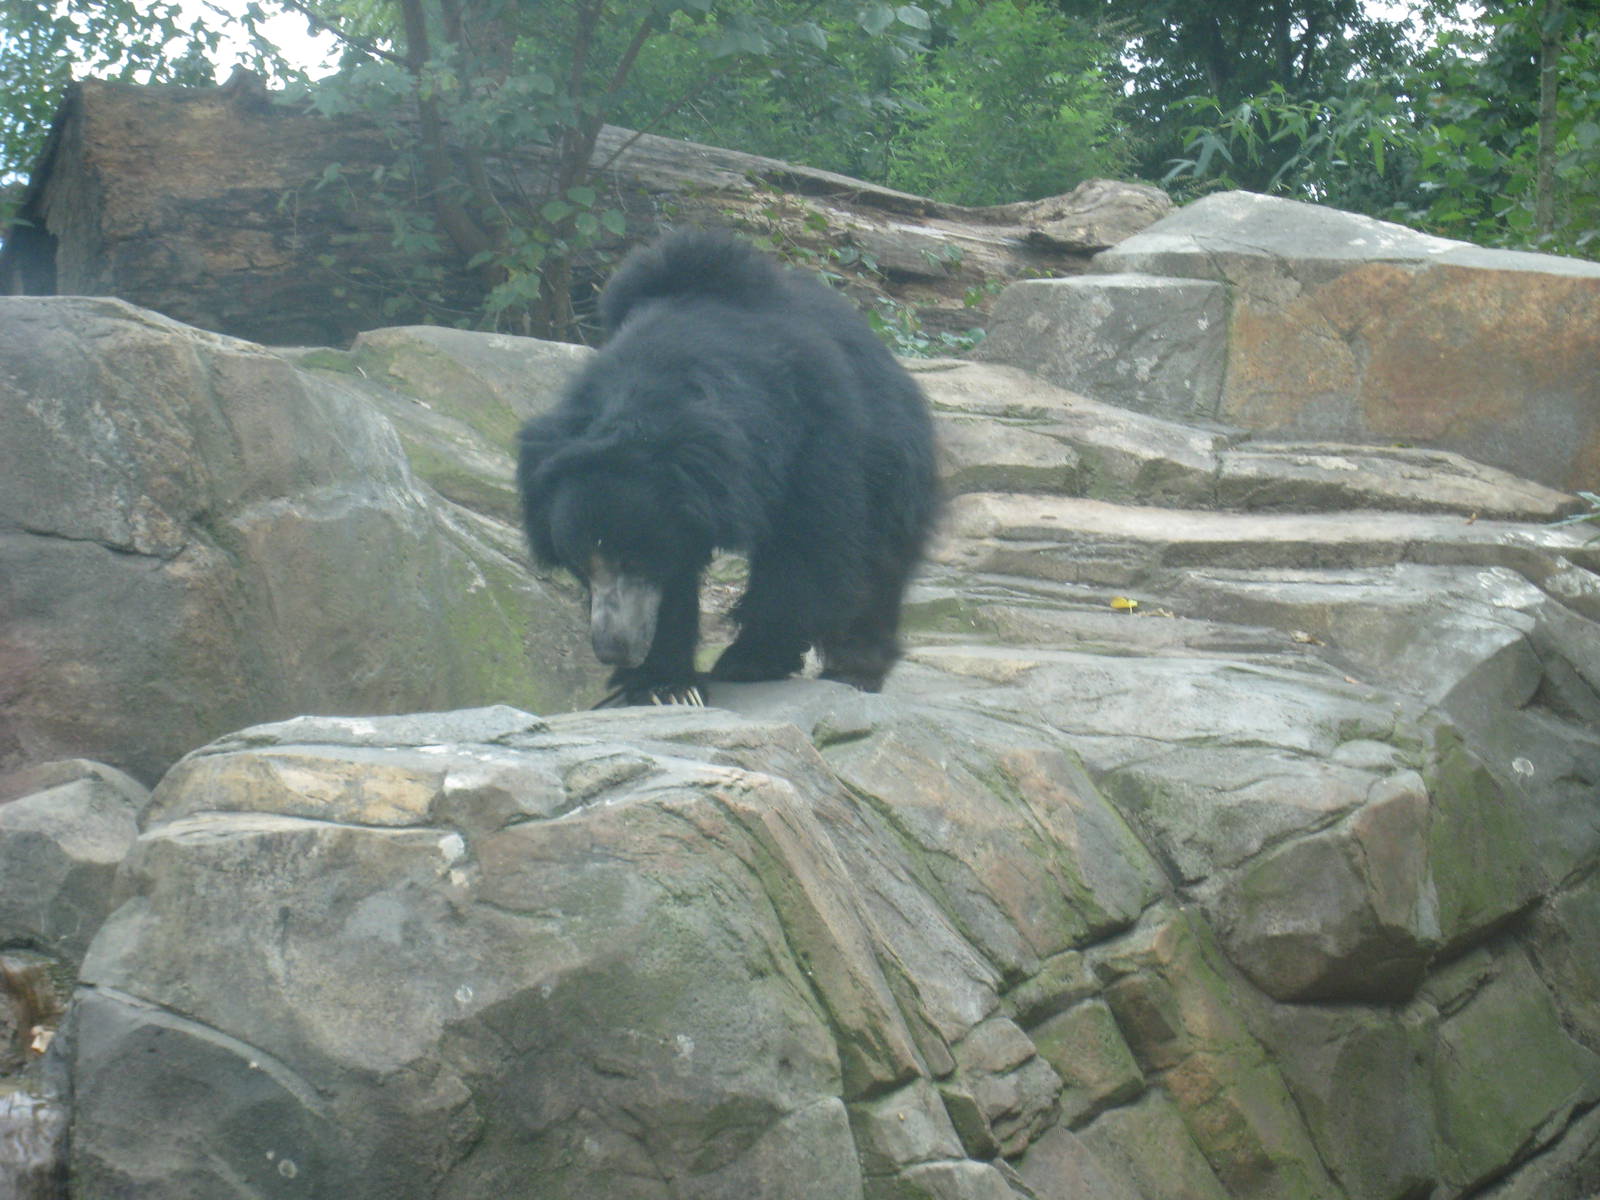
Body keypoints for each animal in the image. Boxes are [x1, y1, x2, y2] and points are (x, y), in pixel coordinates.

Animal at [516, 229, 940, 706]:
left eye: (633, 560)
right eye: (581, 566)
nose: (612, 648)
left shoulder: (810, 431)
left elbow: (806, 546)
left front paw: (752, 658)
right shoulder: (679, 513)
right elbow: (675, 585)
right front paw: (665, 685)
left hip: (889, 453)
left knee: (880, 554)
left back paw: (856, 667)